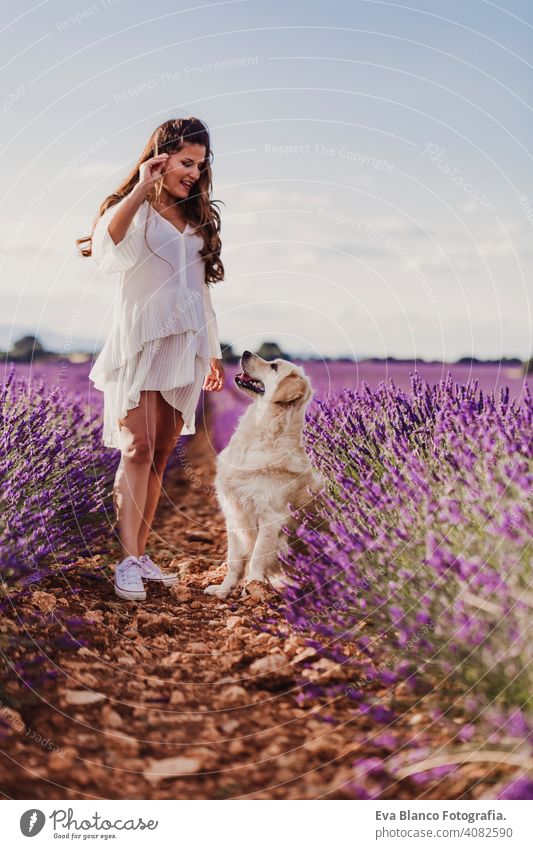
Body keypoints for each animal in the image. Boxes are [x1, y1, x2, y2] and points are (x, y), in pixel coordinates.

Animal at [203, 350, 320, 596]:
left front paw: (253, 587)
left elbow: (257, 556)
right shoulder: (234, 514)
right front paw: (223, 589)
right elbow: (234, 560)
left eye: (274, 366)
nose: (246, 352)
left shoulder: (271, 518)